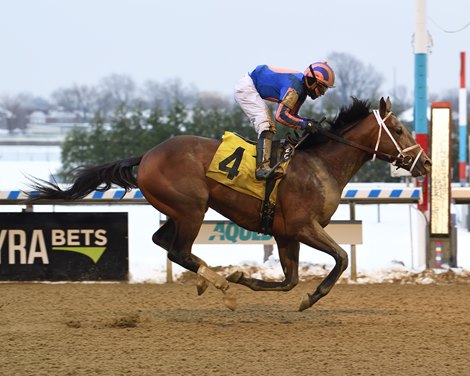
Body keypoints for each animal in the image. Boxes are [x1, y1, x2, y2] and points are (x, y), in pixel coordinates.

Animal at [29, 97, 432, 312]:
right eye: (398, 130)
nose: (426, 163)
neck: (320, 165)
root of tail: (147, 155)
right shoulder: (303, 226)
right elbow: (342, 258)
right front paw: (313, 296)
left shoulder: (285, 234)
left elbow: (289, 280)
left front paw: (245, 277)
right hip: (192, 208)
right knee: (177, 251)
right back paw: (220, 285)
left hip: (179, 209)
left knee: (164, 242)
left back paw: (212, 279)